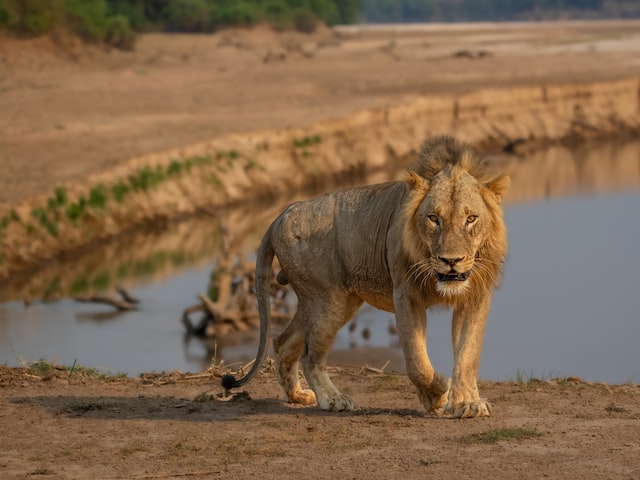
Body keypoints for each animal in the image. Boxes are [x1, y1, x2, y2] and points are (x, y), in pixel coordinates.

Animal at [222, 135, 508, 416]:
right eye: (433, 218)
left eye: (471, 218)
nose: (451, 261)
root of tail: (284, 213)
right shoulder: (405, 294)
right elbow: (417, 360)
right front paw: (437, 394)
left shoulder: (475, 296)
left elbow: (468, 354)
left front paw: (467, 404)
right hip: (328, 301)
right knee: (310, 355)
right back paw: (333, 400)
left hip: (328, 301)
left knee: (283, 342)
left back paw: (298, 396)